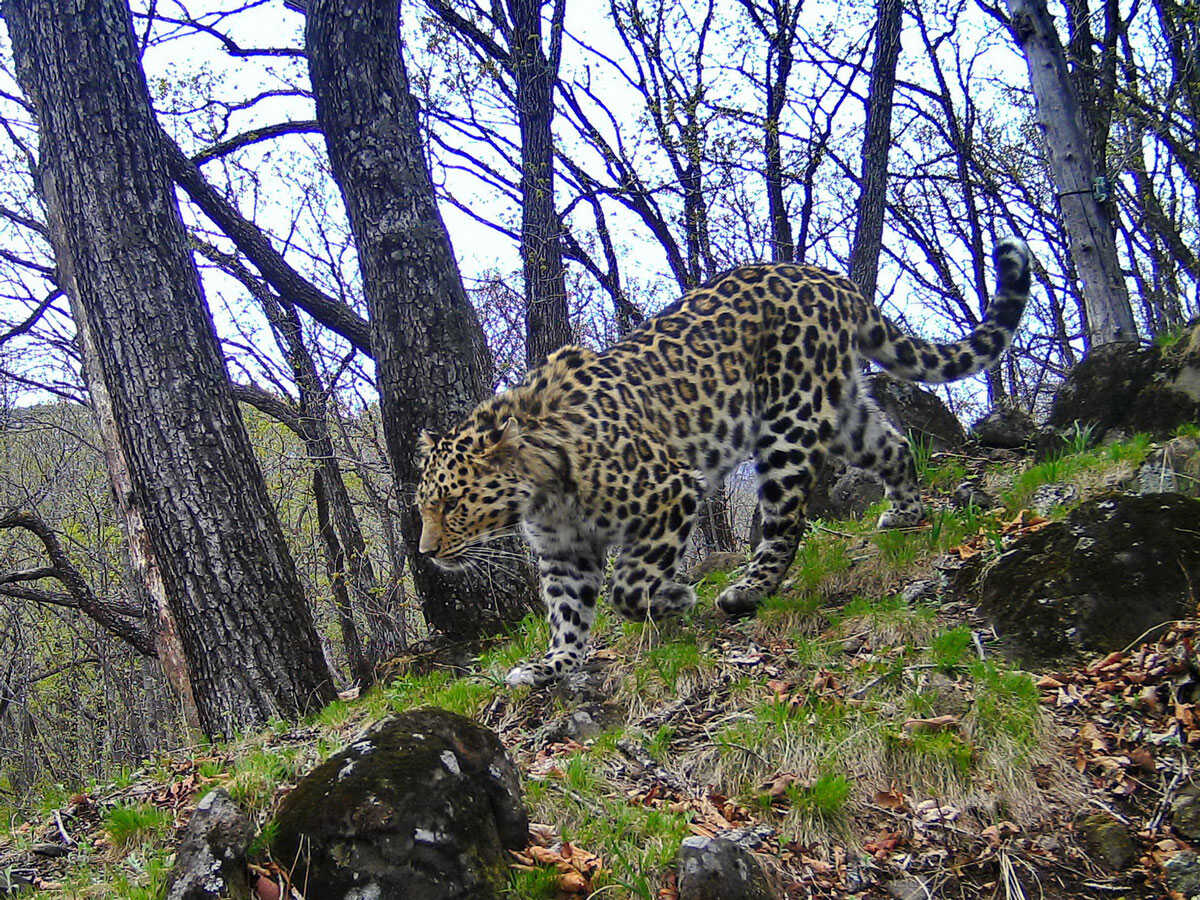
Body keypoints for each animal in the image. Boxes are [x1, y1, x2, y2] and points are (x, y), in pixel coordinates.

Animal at [415, 236, 1032, 686]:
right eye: (425, 506)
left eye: (451, 504)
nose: (426, 553)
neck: (541, 490)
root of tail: (832, 278)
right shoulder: (565, 550)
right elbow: (567, 612)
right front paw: (553, 665)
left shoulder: (669, 493)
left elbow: (628, 587)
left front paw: (673, 598)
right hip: (840, 411)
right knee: (894, 445)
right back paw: (905, 513)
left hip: (788, 422)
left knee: (786, 523)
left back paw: (748, 590)